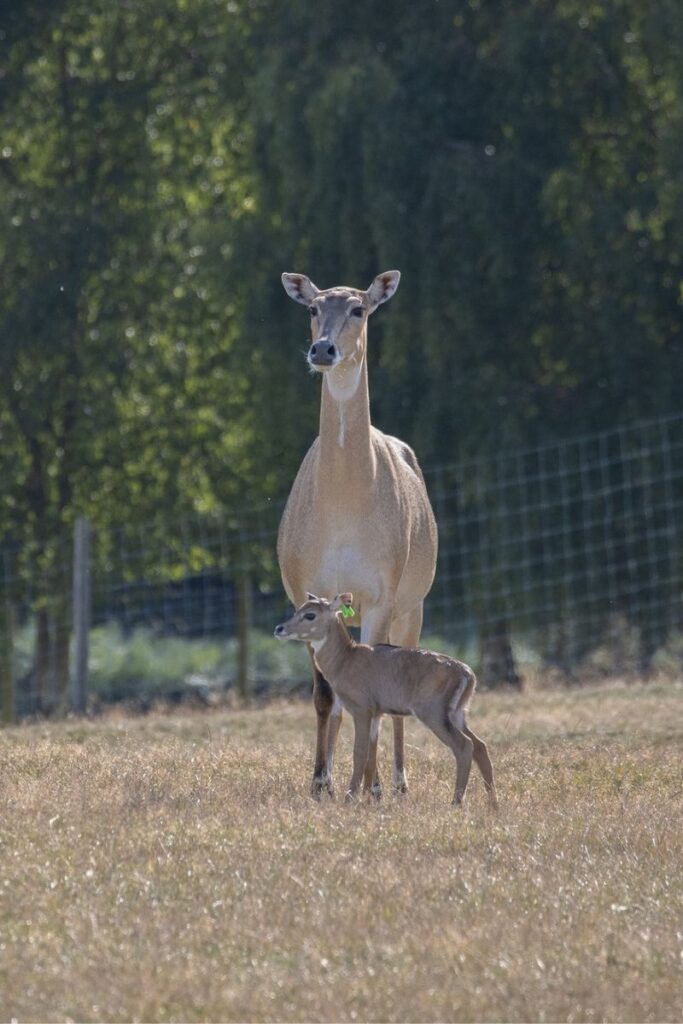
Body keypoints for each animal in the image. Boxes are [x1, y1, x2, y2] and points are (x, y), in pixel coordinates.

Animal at [274, 593, 499, 806]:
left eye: (310, 615)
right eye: (297, 610)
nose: (279, 628)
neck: (345, 659)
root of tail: (467, 674)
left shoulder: (362, 710)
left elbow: (359, 752)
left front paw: (350, 798)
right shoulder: (377, 713)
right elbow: (370, 754)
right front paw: (367, 797)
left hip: (433, 713)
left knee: (464, 746)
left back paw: (456, 802)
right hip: (457, 714)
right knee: (480, 746)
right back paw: (493, 804)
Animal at [278, 270, 438, 798]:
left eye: (359, 308)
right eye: (313, 308)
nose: (323, 350)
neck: (345, 503)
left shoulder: (382, 594)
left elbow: (378, 684)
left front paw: (371, 786)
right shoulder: (307, 590)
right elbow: (326, 694)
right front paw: (320, 782)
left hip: (414, 605)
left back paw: (398, 781)